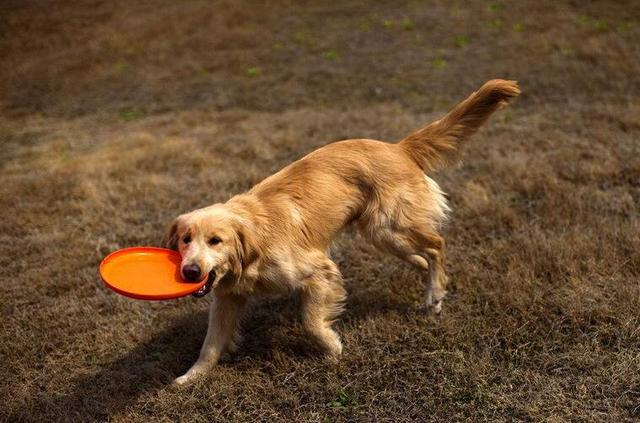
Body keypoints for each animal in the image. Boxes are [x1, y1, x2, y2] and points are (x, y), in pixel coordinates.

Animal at [165, 78, 520, 384]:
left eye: (216, 241)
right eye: (185, 240)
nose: (190, 271)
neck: (253, 244)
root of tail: (398, 147)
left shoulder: (318, 271)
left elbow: (310, 321)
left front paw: (332, 348)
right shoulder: (228, 298)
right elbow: (211, 343)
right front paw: (190, 377)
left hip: (388, 228)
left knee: (437, 244)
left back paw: (434, 293)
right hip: (384, 236)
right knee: (422, 256)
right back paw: (433, 287)